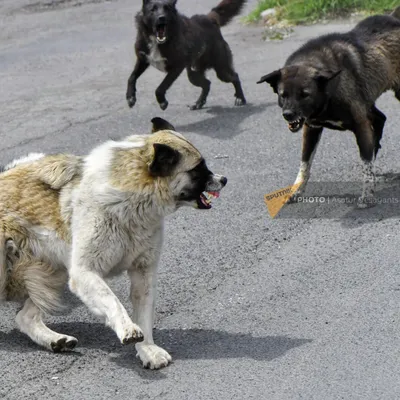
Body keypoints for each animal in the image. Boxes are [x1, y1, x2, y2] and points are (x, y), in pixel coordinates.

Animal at [0, 118, 225, 368]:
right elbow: (112, 300)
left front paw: (148, 350)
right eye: (198, 169)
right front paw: (127, 329)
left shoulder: (143, 274)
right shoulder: (85, 273)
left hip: (53, 270)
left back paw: (55, 340)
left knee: (25, 317)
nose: (223, 180)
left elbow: (144, 316)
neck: (132, 197)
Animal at [256, 7, 400, 208]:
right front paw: (296, 191)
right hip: (368, 104)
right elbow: (305, 163)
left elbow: (365, 162)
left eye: (305, 94)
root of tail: (394, 17)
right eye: (282, 94)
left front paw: (367, 195)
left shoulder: (361, 124)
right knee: (380, 119)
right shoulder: (311, 128)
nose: (288, 114)